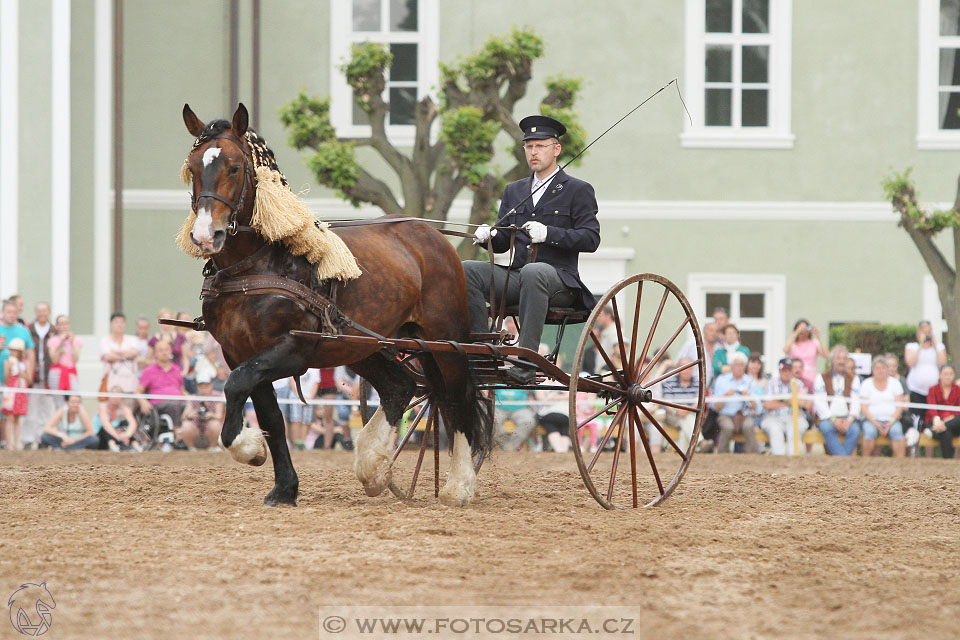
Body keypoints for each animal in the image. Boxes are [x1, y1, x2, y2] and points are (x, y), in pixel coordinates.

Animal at [180, 104, 492, 504]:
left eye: (234, 167)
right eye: (192, 167)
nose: (206, 234)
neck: (257, 265)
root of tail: (430, 235)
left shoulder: (293, 348)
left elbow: (235, 386)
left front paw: (249, 449)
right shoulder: (240, 352)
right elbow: (271, 418)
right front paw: (284, 487)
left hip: (444, 340)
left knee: (455, 399)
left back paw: (458, 486)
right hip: (364, 344)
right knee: (401, 387)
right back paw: (374, 467)